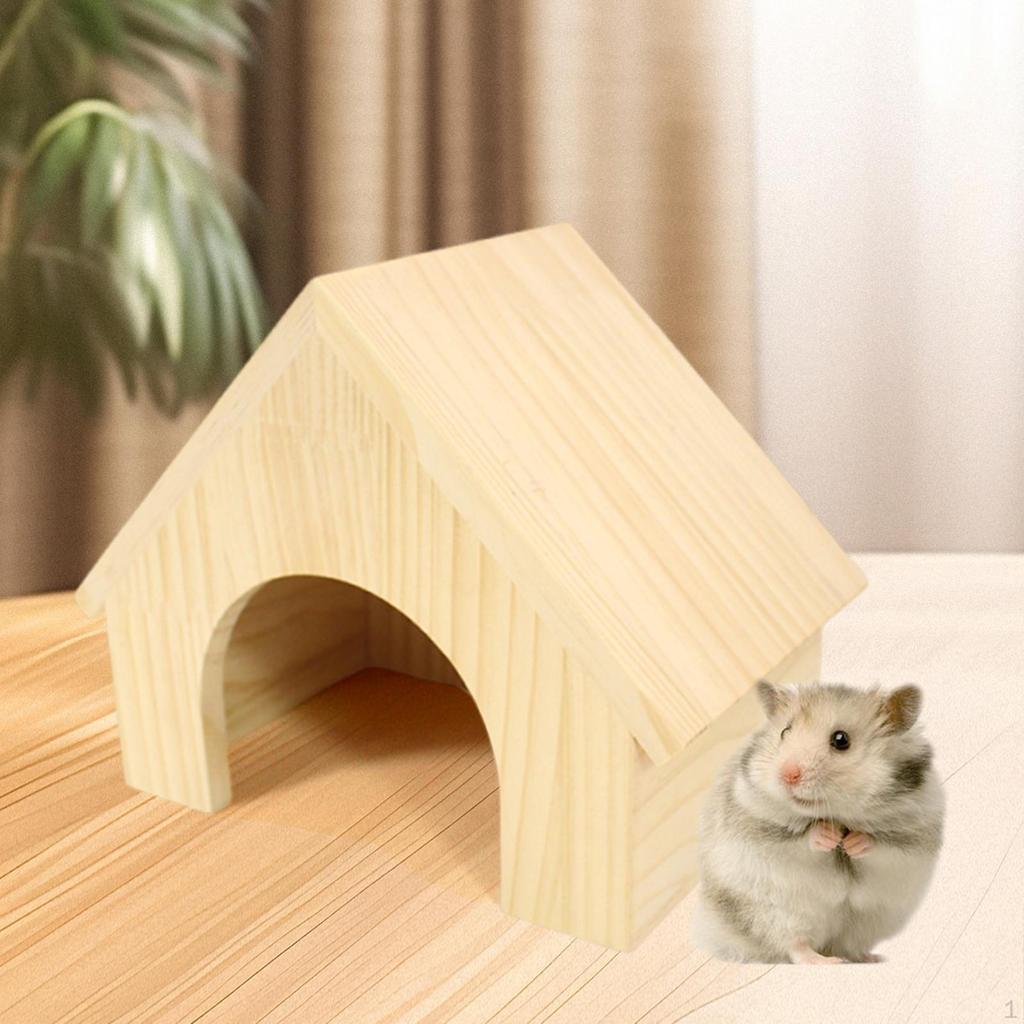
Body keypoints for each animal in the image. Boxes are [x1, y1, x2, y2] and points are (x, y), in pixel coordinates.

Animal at [691, 680, 944, 964]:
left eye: (841, 740)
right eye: (785, 732)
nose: (787, 774)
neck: (838, 814)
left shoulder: (912, 836)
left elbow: (880, 845)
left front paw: (853, 842)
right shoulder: (760, 827)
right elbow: (801, 840)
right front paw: (828, 836)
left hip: (870, 921)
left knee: (848, 946)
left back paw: (870, 958)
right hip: (775, 914)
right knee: (796, 947)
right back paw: (826, 961)